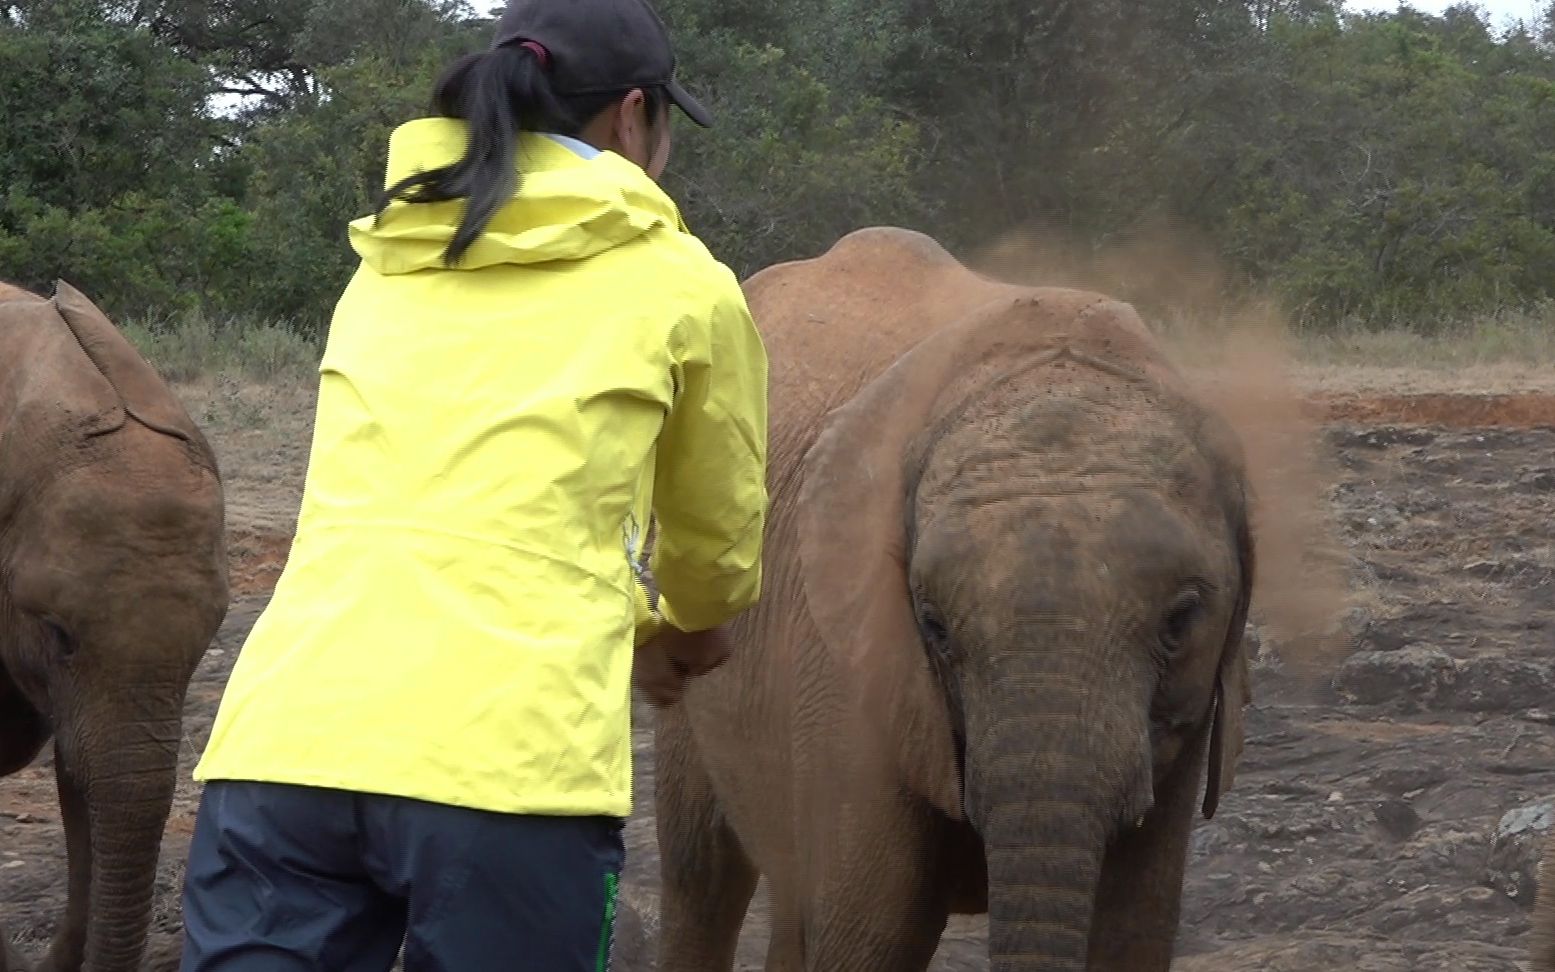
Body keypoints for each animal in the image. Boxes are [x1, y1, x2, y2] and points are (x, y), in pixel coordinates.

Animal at [649, 228, 1256, 970]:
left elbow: (1130, 933)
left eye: (1181, 620)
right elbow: (872, 940)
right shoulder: (851, 674)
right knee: (702, 880)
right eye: (934, 628)